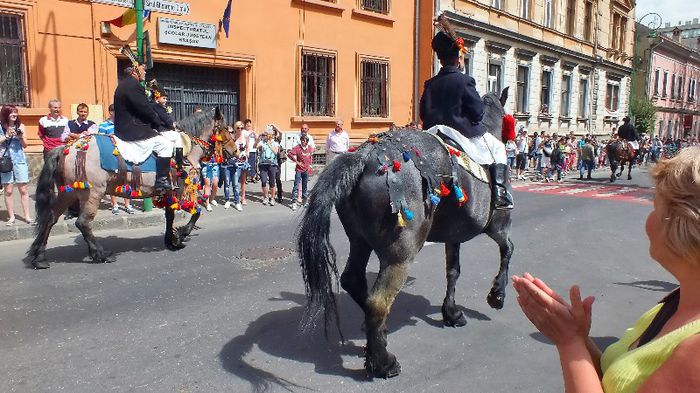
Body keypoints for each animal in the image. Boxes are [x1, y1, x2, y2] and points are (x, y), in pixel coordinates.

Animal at [298, 88, 512, 376]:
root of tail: (364, 155)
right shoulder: (498, 225)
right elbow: (507, 250)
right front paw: (497, 295)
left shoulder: (453, 237)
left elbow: (453, 272)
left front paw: (451, 312)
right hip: (400, 254)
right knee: (378, 302)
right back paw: (382, 362)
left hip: (360, 241)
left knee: (354, 281)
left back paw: (378, 335)